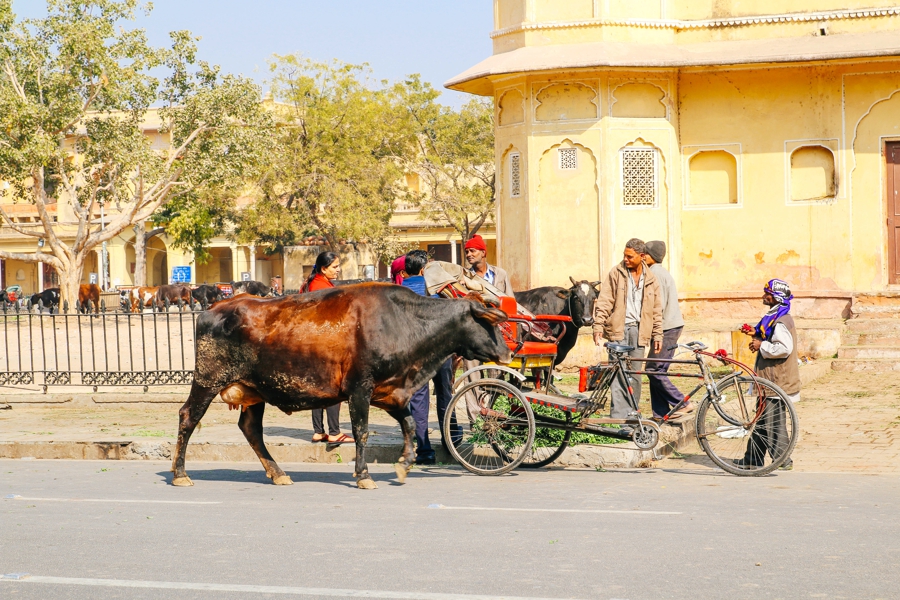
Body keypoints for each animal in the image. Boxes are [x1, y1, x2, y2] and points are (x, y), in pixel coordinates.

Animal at [174, 284, 512, 490]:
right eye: (488, 323)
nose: (508, 353)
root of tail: (214, 307)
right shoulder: (359, 390)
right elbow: (361, 432)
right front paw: (364, 475)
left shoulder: (391, 393)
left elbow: (409, 425)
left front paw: (405, 464)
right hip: (207, 380)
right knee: (188, 417)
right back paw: (180, 474)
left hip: (253, 392)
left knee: (251, 429)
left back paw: (278, 473)